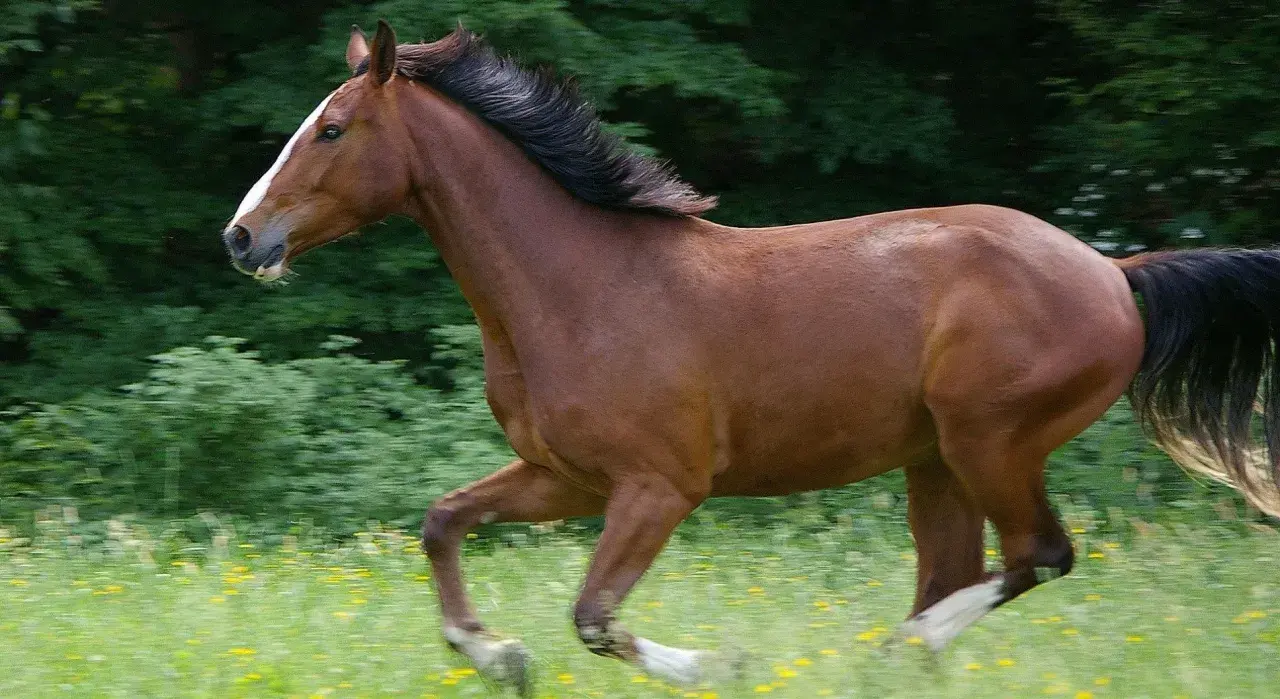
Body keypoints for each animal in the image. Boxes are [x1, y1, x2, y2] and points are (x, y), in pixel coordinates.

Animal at [222, 20, 1280, 694]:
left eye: (332, 129)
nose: (241, 238)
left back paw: (882, 651)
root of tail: (1112, 272)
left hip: (992, 442)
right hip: (935, 461)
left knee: (1037, 557)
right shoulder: (564, 477)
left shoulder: (660, 486)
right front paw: (499, 656)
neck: (579, 286)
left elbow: (595, 616)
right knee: (965, 573)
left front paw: (720, 665)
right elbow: (443, 522)